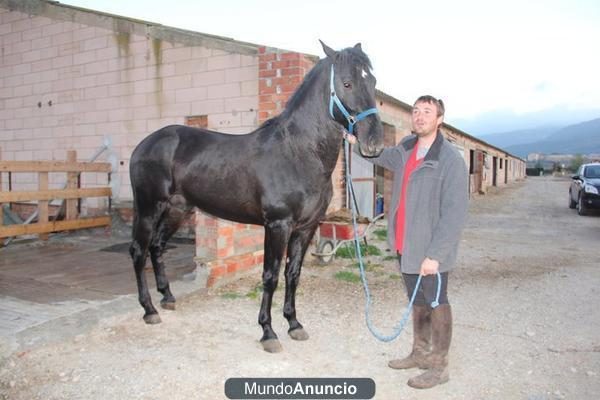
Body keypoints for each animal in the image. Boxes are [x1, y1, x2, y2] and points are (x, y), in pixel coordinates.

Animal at [129, 40, 384, 352]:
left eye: (373, 82)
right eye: (347, 83)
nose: (374, 143)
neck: (297, 153)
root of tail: (144, 145)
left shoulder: (306, 228)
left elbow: (292, 274)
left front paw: (294, 324)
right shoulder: (277, 225)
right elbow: (270, 276)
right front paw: (268, 332)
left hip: (178, 209)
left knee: (157, 246)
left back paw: (167, 297)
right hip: (148, 207)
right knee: (139, 251)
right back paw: (149, 309)